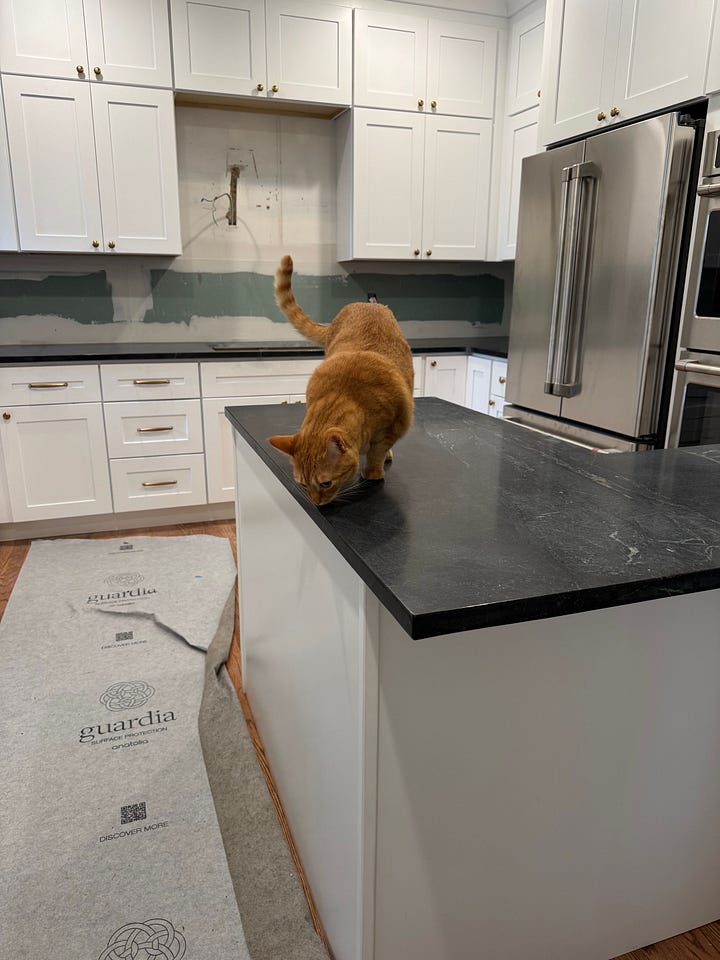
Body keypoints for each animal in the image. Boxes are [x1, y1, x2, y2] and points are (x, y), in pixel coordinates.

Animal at [268, 255, 414, 506]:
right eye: (303, 484)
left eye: (326, 483)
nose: (316, 503)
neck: (347, 393)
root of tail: (368, 303)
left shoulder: (391, 427)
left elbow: (377, 451)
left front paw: (373, 471)